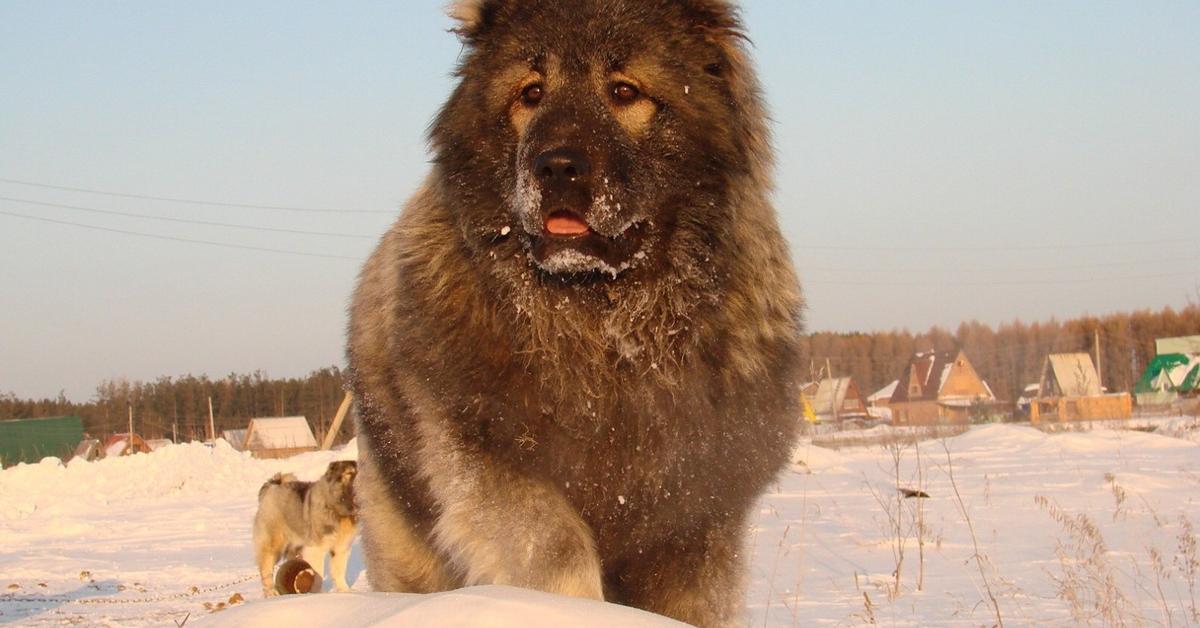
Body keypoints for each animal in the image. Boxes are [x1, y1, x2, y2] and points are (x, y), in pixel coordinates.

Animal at [252, 458, 355, 597]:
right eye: (349, 473)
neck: (338, 511)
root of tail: (272, 488)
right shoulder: (316, 549)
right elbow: (317, 573)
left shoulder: (341, 547)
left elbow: (338, 570)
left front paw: (345, 591)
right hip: (273, 543)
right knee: (266, 568)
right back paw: (271, 592)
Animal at [345, 2, 796, 624]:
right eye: (531, 93)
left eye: (624, 90)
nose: (556, 167)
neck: (605, 328)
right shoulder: (494, 469)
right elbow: (558, 550)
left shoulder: (695, 519)